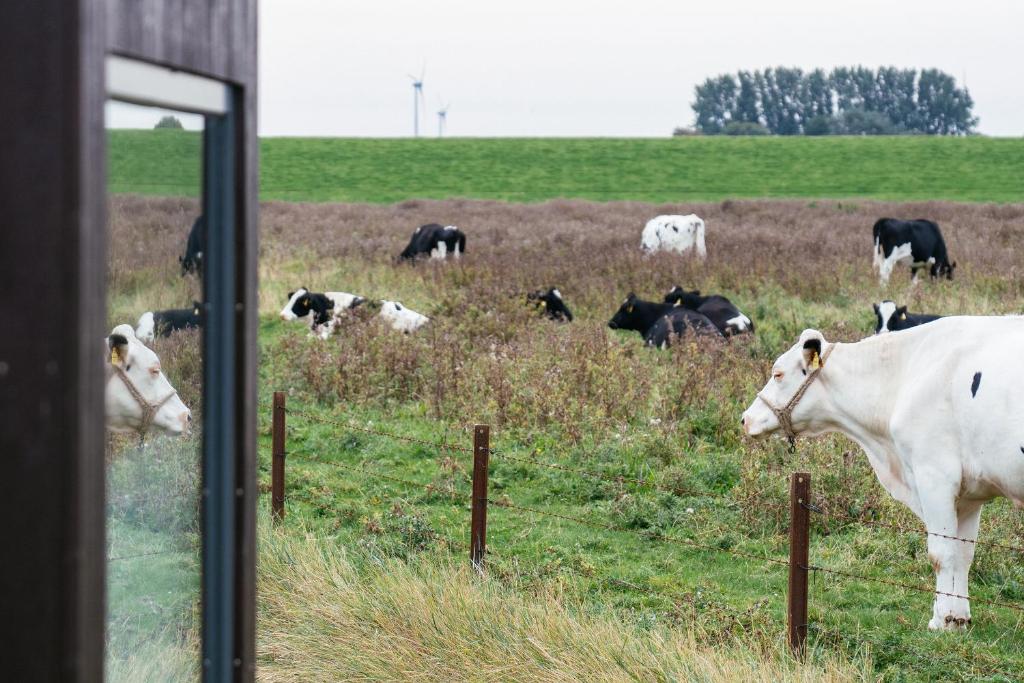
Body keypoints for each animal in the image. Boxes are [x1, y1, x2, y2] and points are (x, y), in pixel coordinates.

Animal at [741, 317, 1024, 634]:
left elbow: (941, 553)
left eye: (777, 374)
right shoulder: (969, 493)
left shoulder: (934, 475)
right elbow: (963, 554)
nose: (745, 419)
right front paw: (958, 619)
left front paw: (942, 621)